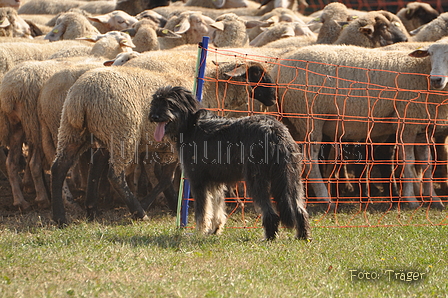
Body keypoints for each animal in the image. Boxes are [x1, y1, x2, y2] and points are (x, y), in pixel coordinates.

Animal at [149, 85, 310, 240]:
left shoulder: (198, 181)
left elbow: (202, 211)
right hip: (291, 179)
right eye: (156, 101)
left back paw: (269, 238)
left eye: (169, 103)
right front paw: (214, 229)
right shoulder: (214, 182)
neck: (191, 125)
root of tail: (274, 130)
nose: (153, 116)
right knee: (300, 210)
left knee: (271, 213)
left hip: (257, 179)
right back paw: (302, 236)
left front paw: (199, 232)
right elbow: (216, 207)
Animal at [270, 43, 448, 210]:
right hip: (310, 118)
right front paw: (412, 200)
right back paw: (326, 200)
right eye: (430, 54)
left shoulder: (424, 128)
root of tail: (278, 67)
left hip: (292, 120)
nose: (436, 80)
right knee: (310, 160)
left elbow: (427, 164)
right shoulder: (407, 122)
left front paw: (434, 199)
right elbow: (409, 163)